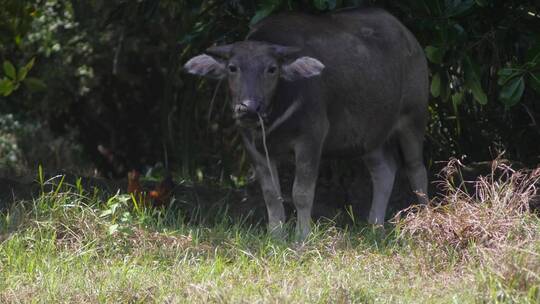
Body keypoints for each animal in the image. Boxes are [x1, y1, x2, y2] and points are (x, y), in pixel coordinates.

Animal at [184, 7, 428, 239]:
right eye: (233, 67)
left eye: (272, 69)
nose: (249, 108)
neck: (275, 112)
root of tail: (410, 40)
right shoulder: (253, 145)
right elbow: (271, 193)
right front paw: (275, 234)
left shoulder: (310, 139)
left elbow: (301, 193)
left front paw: (302, 235)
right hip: (370, 136)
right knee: (384, 170)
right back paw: (375, 225)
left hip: (413, 117)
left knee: (416, 170)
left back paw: (425, 218)